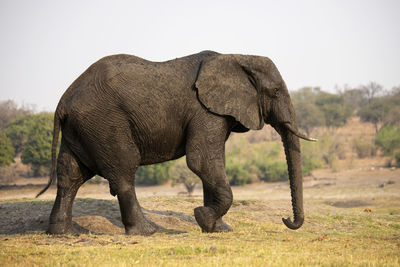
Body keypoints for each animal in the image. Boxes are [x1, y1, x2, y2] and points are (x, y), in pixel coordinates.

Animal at [38, 50, 316, 237]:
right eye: (276, 91)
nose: (285, 219)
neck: (237, 57)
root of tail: (62, 101)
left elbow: (211, 164)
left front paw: (217, 229)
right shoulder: (205, 111)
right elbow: (202, 161)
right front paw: (202, 217)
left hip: (81, 128)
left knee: (70, 175)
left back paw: (63, 233)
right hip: (104, 122)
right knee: (124, 169)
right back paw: (148, 231)